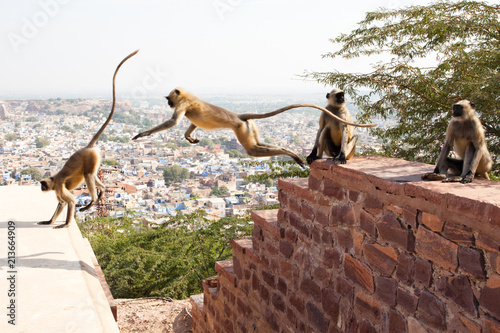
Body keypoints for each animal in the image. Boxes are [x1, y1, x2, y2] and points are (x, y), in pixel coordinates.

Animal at [39, 49, 139, 228]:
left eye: (43, 184)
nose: (41, 188)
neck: (54, 178)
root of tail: (88, 147)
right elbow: (61, 204)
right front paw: (49, 221)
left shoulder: (59, 186)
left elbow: (70, 202)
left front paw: (65, 224)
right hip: (96, 159)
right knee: (92, 176)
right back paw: (102, 191)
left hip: (92, 157)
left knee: (88, 175)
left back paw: (92, 201)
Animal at [132, 88, 376, 167]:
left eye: (169, 100)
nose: (167, 103)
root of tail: (240, 116)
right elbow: (189, 124)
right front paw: (189, 136)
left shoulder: (183, 104)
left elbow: (173, 122)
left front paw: (143, 133)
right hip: (250, 128)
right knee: (259, 145)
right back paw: (293, 154)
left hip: (241, 129)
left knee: (253, 150)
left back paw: (292, 154)